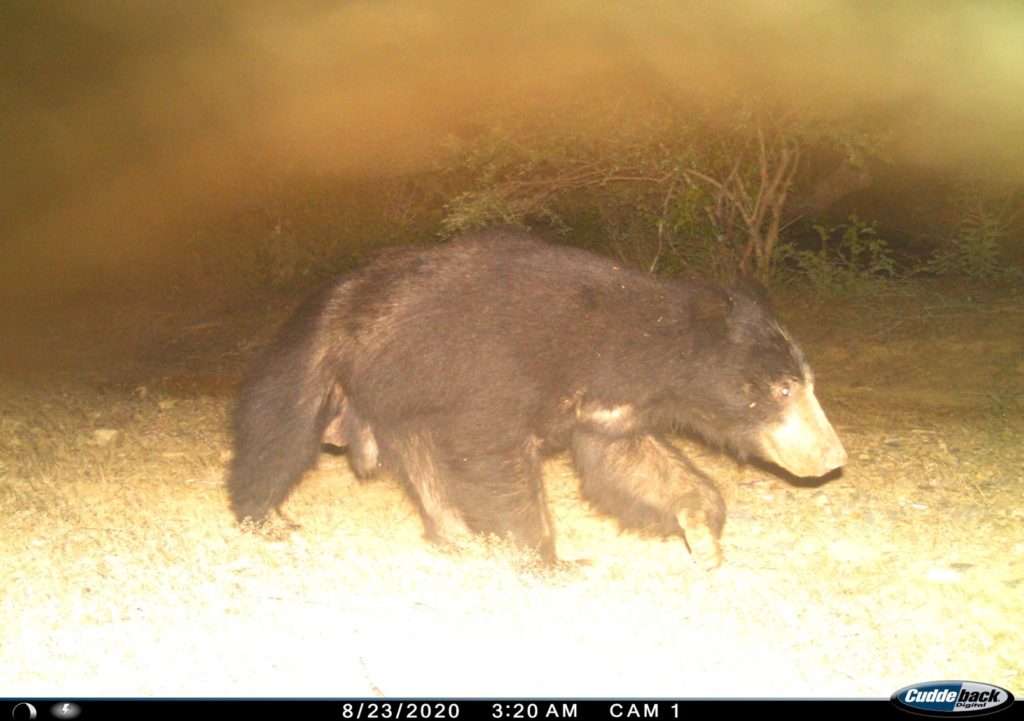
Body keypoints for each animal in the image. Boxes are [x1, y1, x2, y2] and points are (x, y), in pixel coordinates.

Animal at [226, 229, 846, 568]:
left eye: (810, 383)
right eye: (783, 389)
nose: (833, 456)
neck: (626, 343)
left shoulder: (610, 406)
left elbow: (627, 462)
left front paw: (702, 529)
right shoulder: (499, 368)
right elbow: (493, 454)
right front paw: (552, 560)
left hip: (402, 400)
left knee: (425, 469)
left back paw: (456, 538)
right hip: (325, 356)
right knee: (280, 432)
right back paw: (267, 516)